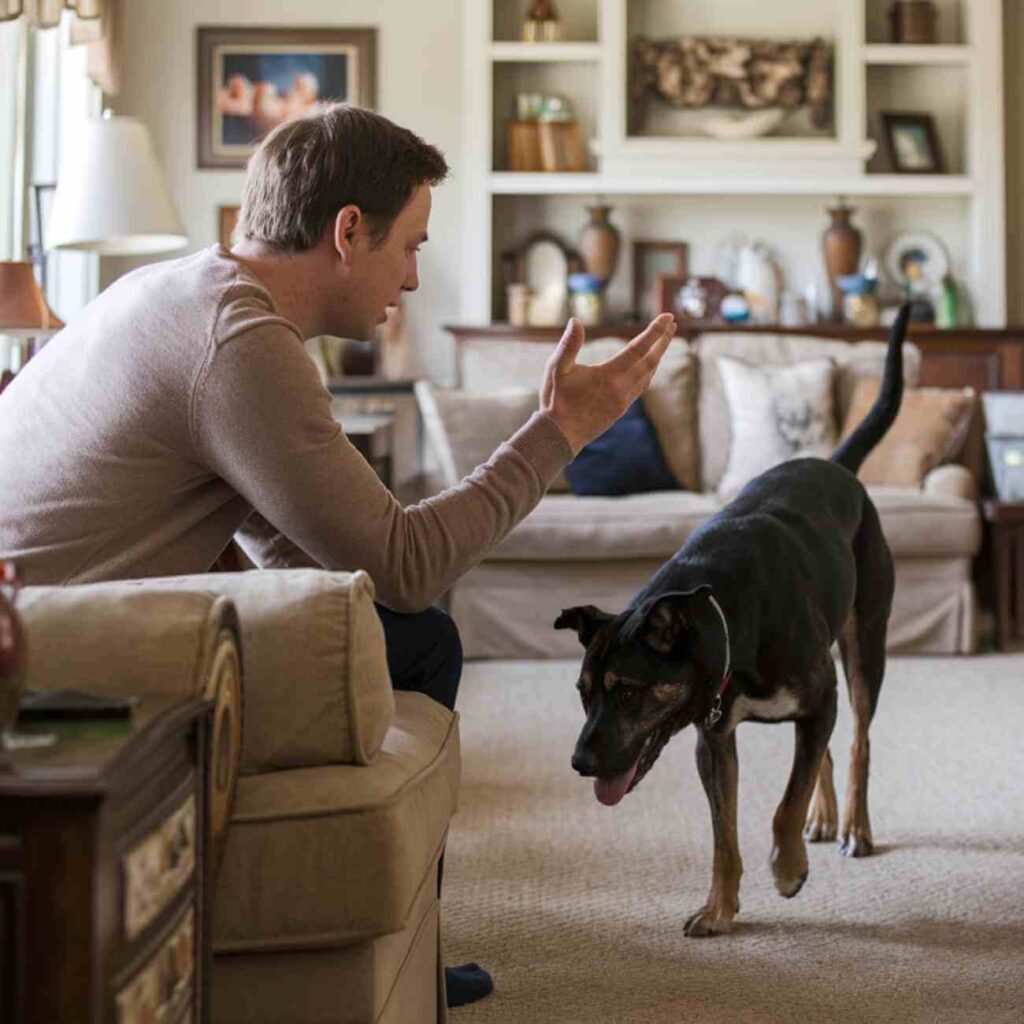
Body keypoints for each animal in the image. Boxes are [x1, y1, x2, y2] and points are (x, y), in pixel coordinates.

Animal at [557, 307, 909, 937]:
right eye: (582, 693)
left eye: (628, 693)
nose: (579, 764)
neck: (723, 620)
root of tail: (835, 465)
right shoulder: (714, 739)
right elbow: (725, 833)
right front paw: (718, 909)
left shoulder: (817, 701)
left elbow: (785, 804)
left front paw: (788, 869)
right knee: (822, 750)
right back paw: (825, 818)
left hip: (864, 643)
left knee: (858, 741)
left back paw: (854, 828)